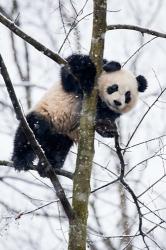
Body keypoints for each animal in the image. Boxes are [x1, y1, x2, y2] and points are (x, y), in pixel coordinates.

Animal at [11, 54, 148, 177]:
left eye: (127, 95)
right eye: (114, 87)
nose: (117, 102)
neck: (100, 99)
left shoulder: (108, 110)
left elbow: (104, 117)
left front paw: (107, 128)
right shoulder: (75, 84)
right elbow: (70, 73)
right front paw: (86, 70)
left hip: (63, 135)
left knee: (59, 148)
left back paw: (48, 166)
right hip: (46, 114)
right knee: (29, 132)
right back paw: (21, 160)